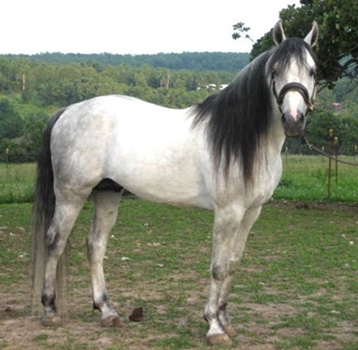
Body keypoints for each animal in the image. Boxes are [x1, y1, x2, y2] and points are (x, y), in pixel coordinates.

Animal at [31, 21, 318, 344]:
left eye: (312, 71)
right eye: (275, 71)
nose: (293, 120)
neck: (245, 141)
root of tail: (68, 111)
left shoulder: (251, 212)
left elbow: (233, 264)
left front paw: (226, 319)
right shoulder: (228, 212)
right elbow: (218, 268)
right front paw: (214, 326)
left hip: (107, 193)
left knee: (95, 245)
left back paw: (107, 311)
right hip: (71, 194)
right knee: (55, 241)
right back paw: (50, 310)